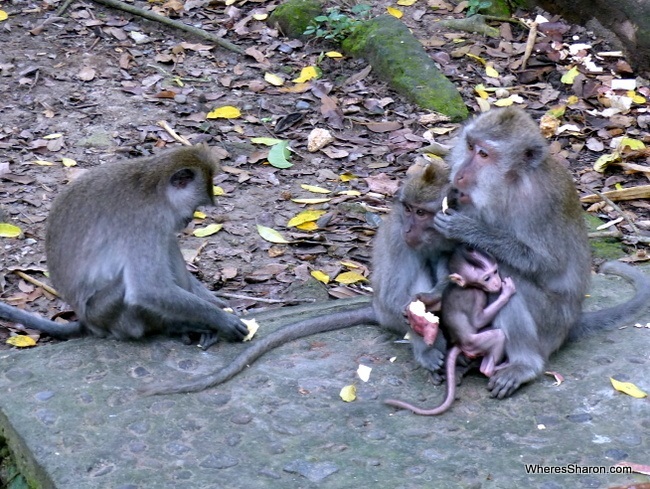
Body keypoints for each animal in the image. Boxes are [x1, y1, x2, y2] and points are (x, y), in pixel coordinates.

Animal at [142, 160, 456, 396]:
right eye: (408, 209)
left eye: (421, 212)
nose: (410, 229)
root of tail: (375, 310)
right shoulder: (398, 240)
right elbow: (397, 296)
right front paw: (427, 343)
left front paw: (437, 297)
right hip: (387, 312)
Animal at [382, 246, 512, 414]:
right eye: (486, 278)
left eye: (495, 271)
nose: (497, 283)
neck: (467, 286)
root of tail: (460, 345)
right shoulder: (475, 294)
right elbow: (478, 319)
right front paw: (507, 293)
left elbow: (438, 302)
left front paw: (419, 300)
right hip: (474, 343)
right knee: (498, 336)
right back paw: (492, 368)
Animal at [430, 107, 648, 396]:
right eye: (470, 146)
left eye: (484, 155)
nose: (459, 175)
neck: (510, 185)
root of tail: (571, 323)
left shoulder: (540, 203)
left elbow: (546, 263)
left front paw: (467, 229)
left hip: (551, 322)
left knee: (511, 276)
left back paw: (525, 364)